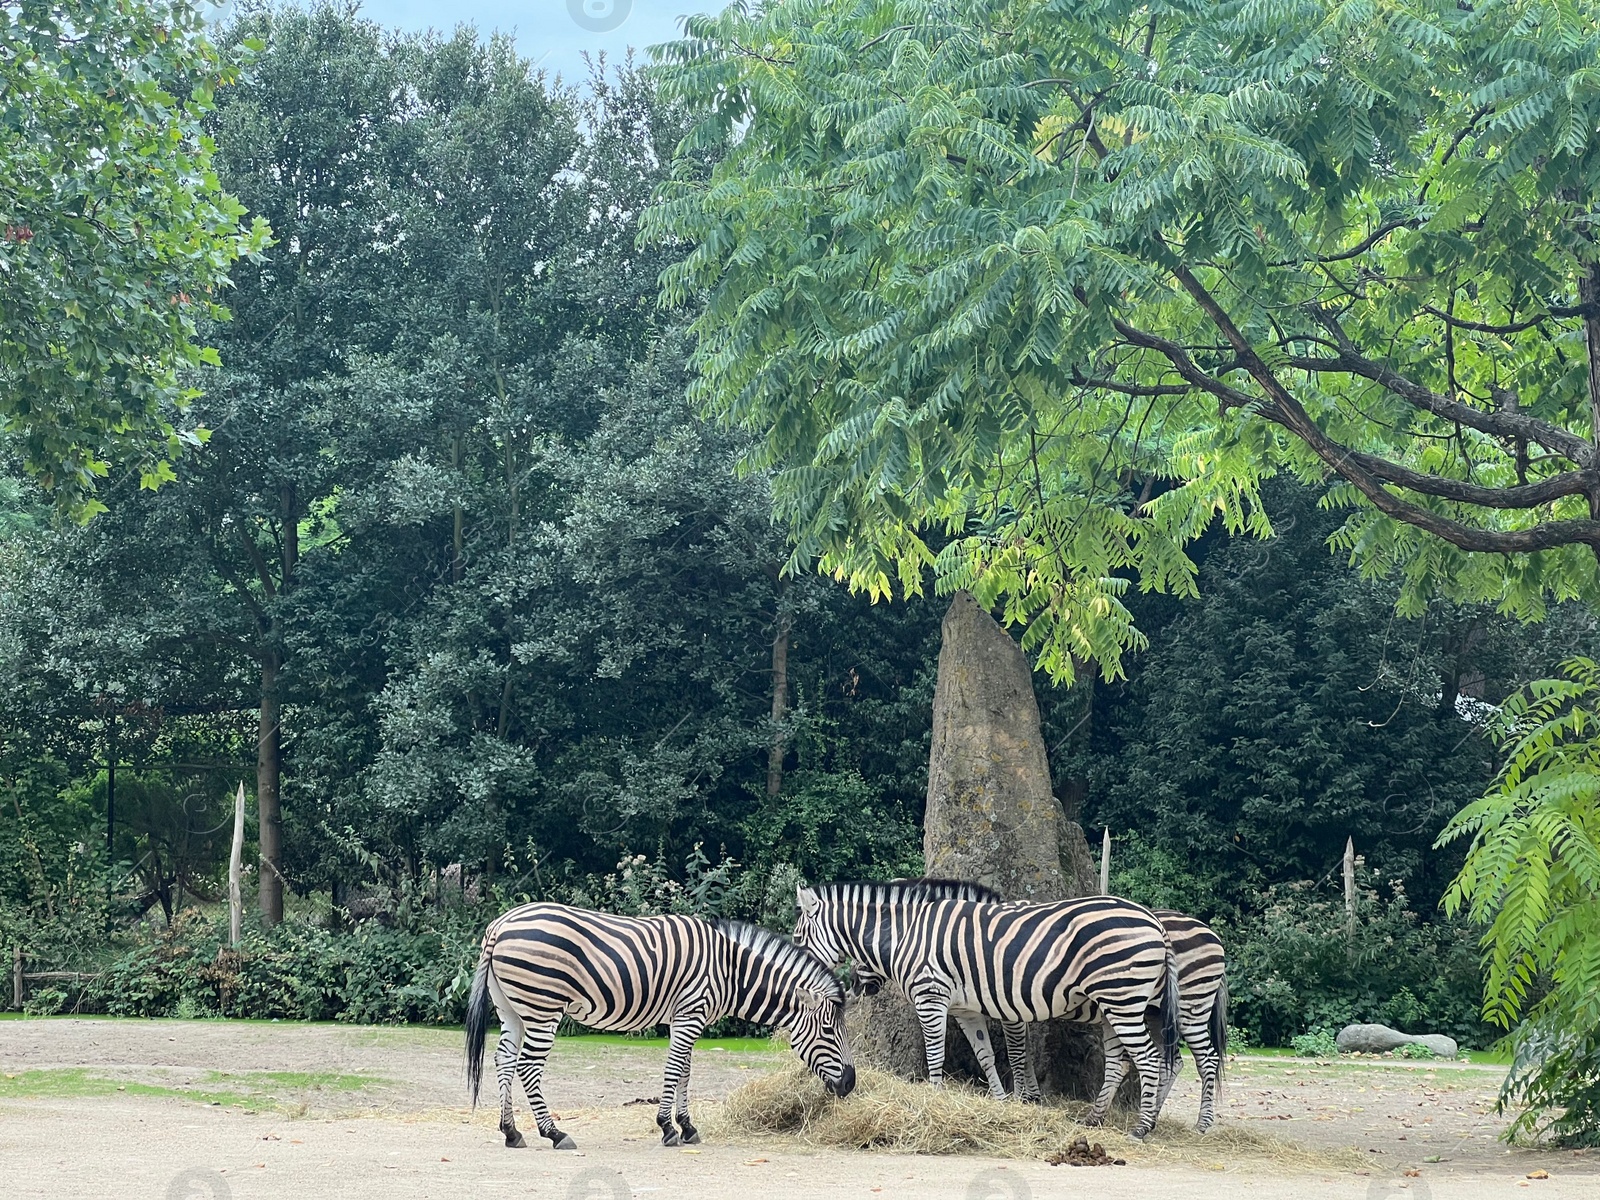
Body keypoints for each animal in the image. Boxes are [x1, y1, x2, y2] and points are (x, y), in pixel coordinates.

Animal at [467, 908, 857, 1152]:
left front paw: (687, 1127)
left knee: (504, 1060)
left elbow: (685, 1070)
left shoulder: (685, 1017)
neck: (729, 972)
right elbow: (674, 1070)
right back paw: (555, 1133)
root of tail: (499, 925)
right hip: (542, 1007)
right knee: (528, 1067)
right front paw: (668, 1127)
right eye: (828, 1030)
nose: (851, 1084)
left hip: (511, 1009)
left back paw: (511, 1132)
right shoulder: (690, 1014)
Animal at [793, 876, 1184, 1139]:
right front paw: (1000, 1103)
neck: (909, 935)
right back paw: (1094, 1119)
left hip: (1126, 1001)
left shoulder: (932, 997)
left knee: (1151, 1060)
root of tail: (1155, 922)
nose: (857, 987)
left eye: (798, 938)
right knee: (1122, 1062)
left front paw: (935, 1101)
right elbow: (986, 1055)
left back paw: (1142, 1128)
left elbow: (940, 1055)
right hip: (1115, 1005)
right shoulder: (966, 1009)